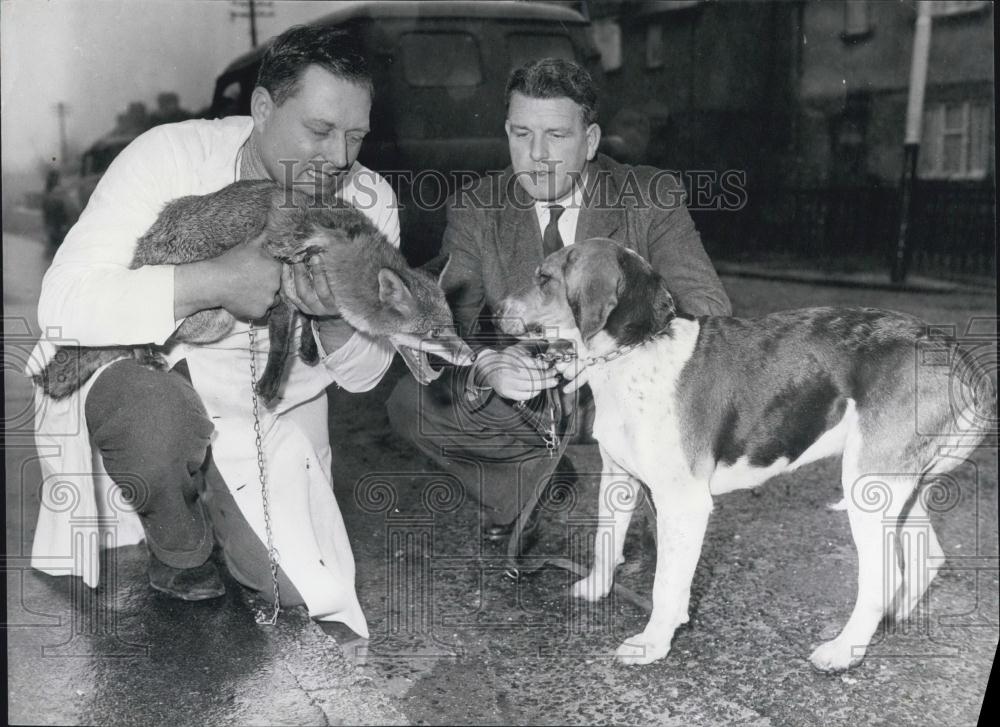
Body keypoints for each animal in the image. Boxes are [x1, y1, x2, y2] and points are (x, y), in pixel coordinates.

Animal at [37, 178, 474, 404]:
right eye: (434, 333)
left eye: (453, 325)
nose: (471, 356)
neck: (346, 245)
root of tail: (142, 252)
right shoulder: (280, 283)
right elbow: (279, 344)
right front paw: (267, 386)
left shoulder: (302, 294)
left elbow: (308, 320)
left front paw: (310, 348)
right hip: (208, 316)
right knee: (140, 331)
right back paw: (144, 354)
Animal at [498, 239, 992, 672]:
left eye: (544, 278)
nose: (497, 310)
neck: (633, 353)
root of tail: (954, 355)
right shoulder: (618, 478)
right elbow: (607, 543)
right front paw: (596, 590)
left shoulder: (685, 504)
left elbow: (665, 585)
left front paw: (654, 643)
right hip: (898, 489)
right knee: (928, 557)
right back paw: (890, 619)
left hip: (870, 486)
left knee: (884, 576)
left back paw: (844, 650)